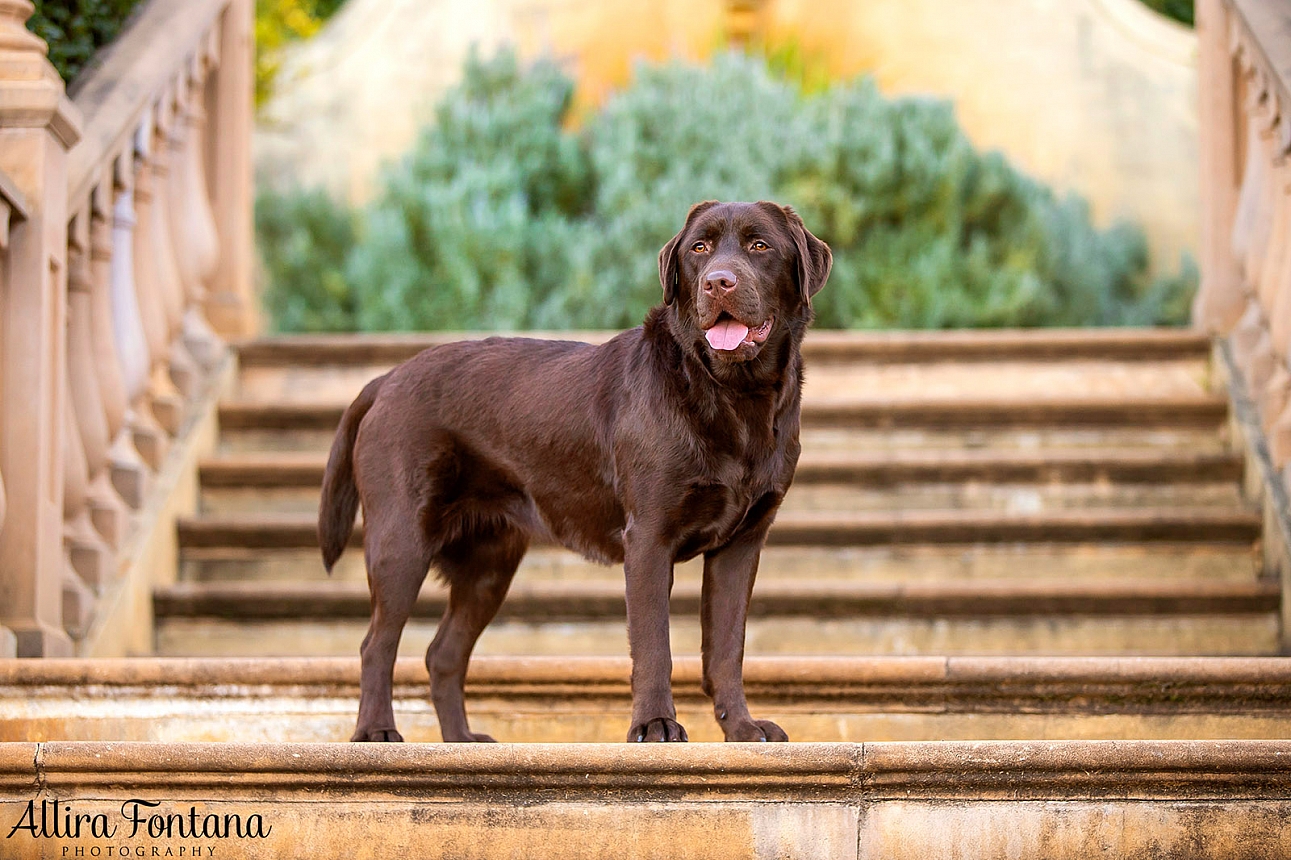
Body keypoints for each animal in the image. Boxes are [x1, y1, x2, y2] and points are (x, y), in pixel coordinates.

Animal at [317, 198, 831, 738]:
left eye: (759, 245)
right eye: (699, 249)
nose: (718, 282)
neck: (733, 394)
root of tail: (386, 378)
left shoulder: (741, 544)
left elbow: (727, 649)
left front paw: (742, 730)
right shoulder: (648, 539)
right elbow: (654, 646)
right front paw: (655, 725)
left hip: (489, 565)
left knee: (442, 654)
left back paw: (459, 740)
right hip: (401, 541)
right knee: (376, 644)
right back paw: (376, 732)